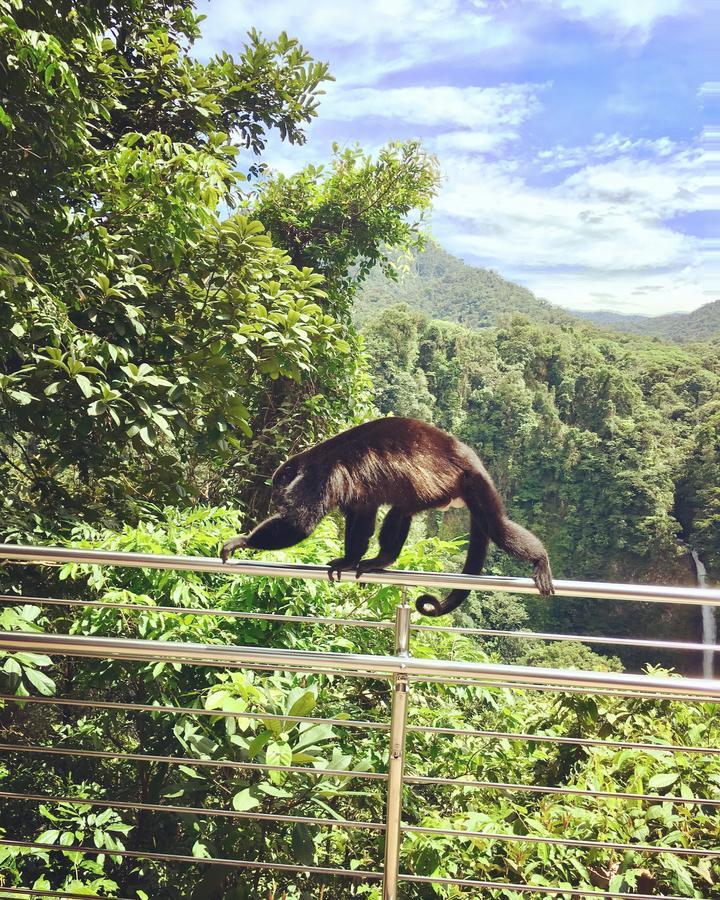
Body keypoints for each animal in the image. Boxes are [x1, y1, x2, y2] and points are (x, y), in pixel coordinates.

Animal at [222, 416, 556, 616]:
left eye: (280, 491)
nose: (277, 500)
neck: (307, 463)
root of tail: (471, 460)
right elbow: (361, 515)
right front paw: (348, 559)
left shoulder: (318, 478)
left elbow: (300, 524)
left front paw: (243, 541)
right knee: (402, 511)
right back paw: (385, 558)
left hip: (474, 485)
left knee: (494, 525)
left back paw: (540, 559)